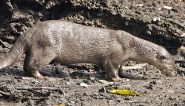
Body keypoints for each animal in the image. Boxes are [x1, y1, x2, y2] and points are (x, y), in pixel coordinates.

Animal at [0, 20, 176, 81]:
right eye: (171, 64)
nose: (175, 72)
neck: (129, 44)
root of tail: (31, 31)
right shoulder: (114, 56)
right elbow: (112, 69)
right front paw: (117, 80)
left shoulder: (121, 58)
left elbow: (121, 68)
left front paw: (128, 75)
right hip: (47, 48)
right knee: (32, 65)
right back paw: (44, 76)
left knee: (26, 64)